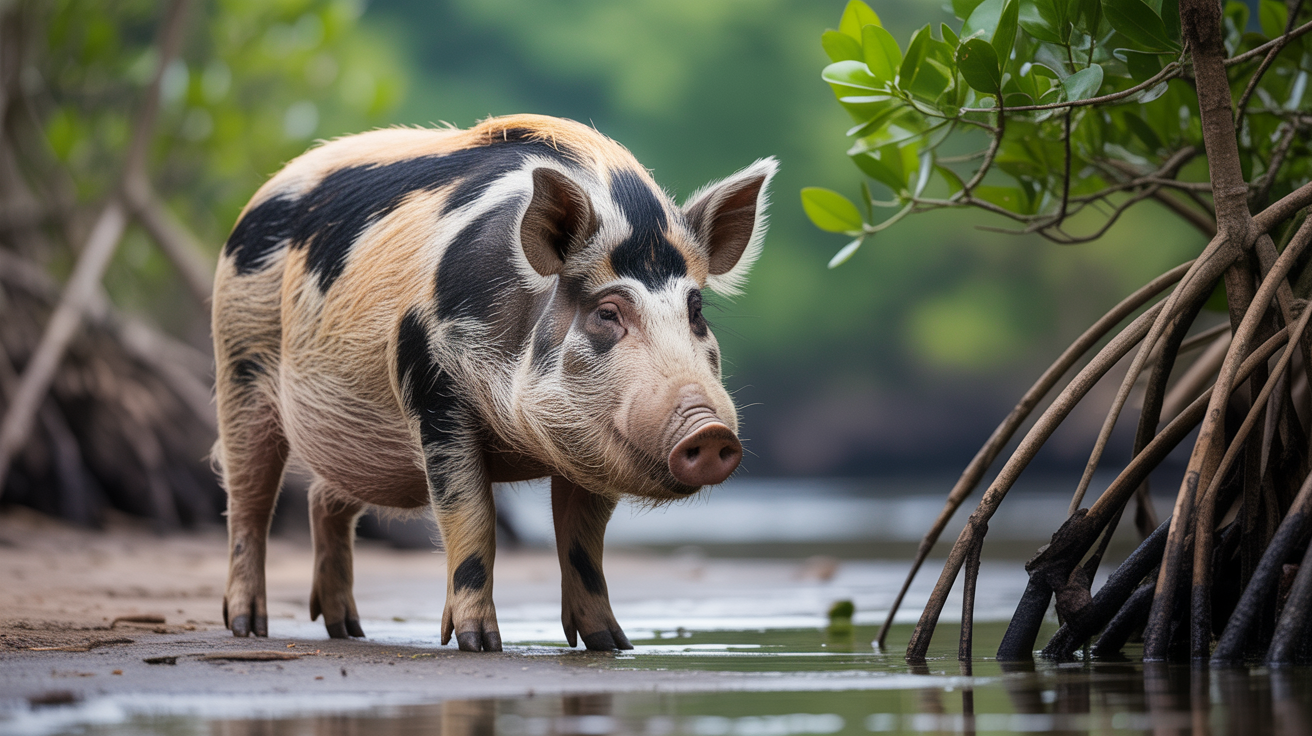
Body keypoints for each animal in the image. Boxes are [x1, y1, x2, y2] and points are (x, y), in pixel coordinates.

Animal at [211, 114, 776, 652]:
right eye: (608, 312)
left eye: (695, 311)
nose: (709, 431)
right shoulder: (433, 389)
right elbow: (472, 516)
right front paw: (479, 644)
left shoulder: (592, 444)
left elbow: (583, 543)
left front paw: (613, 645)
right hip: (238, 361)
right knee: (248, 500)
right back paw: (247, 627)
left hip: (355, 439)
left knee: (324, 499)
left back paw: (348, 631)